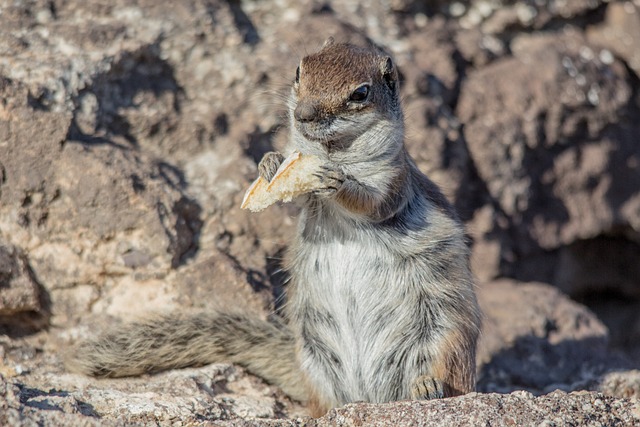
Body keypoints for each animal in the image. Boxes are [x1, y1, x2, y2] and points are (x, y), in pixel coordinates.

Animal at [69, 38, 480, 416]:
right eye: (300, 71)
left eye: (360, 93)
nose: (304, 113)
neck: (334, 153)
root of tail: (373, 397)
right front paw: (269, 163)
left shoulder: (394, 181)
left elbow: (373, 203)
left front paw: (340, 184)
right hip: (316, 360)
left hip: (445, 333)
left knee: (444, 370)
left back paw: (425, 386)